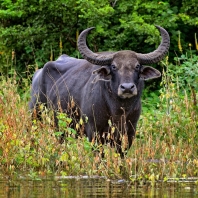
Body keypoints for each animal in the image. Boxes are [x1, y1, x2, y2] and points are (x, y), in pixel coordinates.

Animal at [29, 25, 170, 156]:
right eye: (113, 66)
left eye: (137, 66)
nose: (127, 87)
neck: (118, 110)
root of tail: (38, 74)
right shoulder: (94, 133)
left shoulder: (129, 134)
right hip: (35, 116)